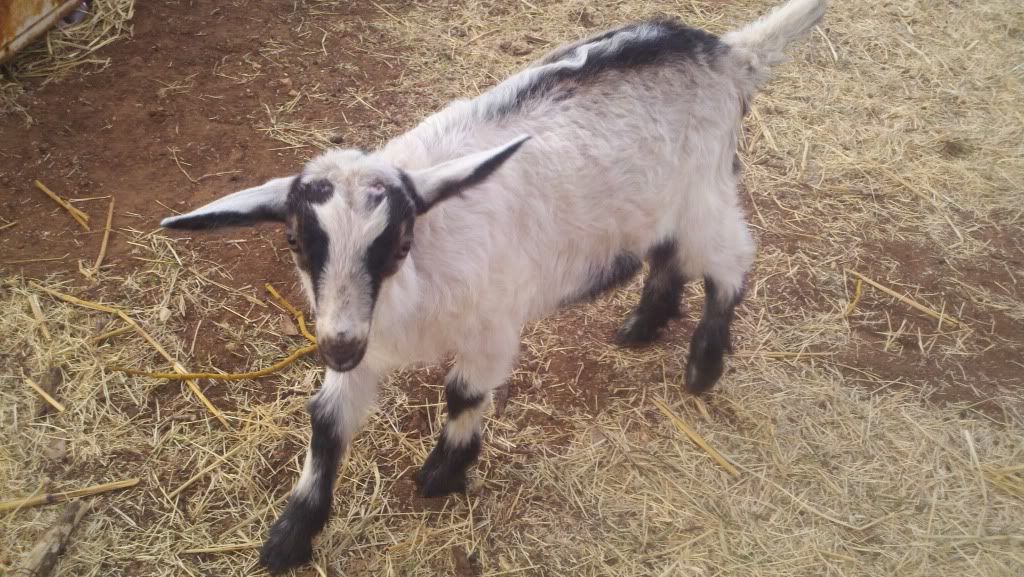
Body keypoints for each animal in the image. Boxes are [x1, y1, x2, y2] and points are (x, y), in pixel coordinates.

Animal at [161, 0, 828, 572]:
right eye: (297, 244)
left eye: (397, 244)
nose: (338, 346)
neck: (419, 269)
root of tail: (727, 53)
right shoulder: (362, 337)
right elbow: (326, 420)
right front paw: (289, 536)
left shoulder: (489, 327)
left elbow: (464, 395)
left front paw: (442, 475)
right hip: (661, 204)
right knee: (669, 256)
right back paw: (643, 326)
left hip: (706, 194)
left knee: (731, 263)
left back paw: (704, 365)